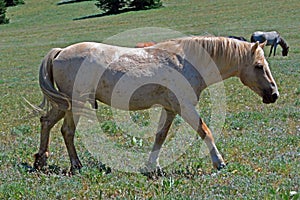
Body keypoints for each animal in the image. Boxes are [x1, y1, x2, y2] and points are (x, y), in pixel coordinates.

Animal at [33, 36, 278, 174]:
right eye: (258, 66)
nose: (274, 94)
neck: (187, 62)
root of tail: (61, 52)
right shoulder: (185, 107)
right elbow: (205, 131)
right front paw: (219, 162)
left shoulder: (170, 108)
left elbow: (160, 136)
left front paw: (152, 166)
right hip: (74, 103)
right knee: (67, 131)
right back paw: (75, 165)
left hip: (64, 103)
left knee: (46, 122)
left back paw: (40, 160)